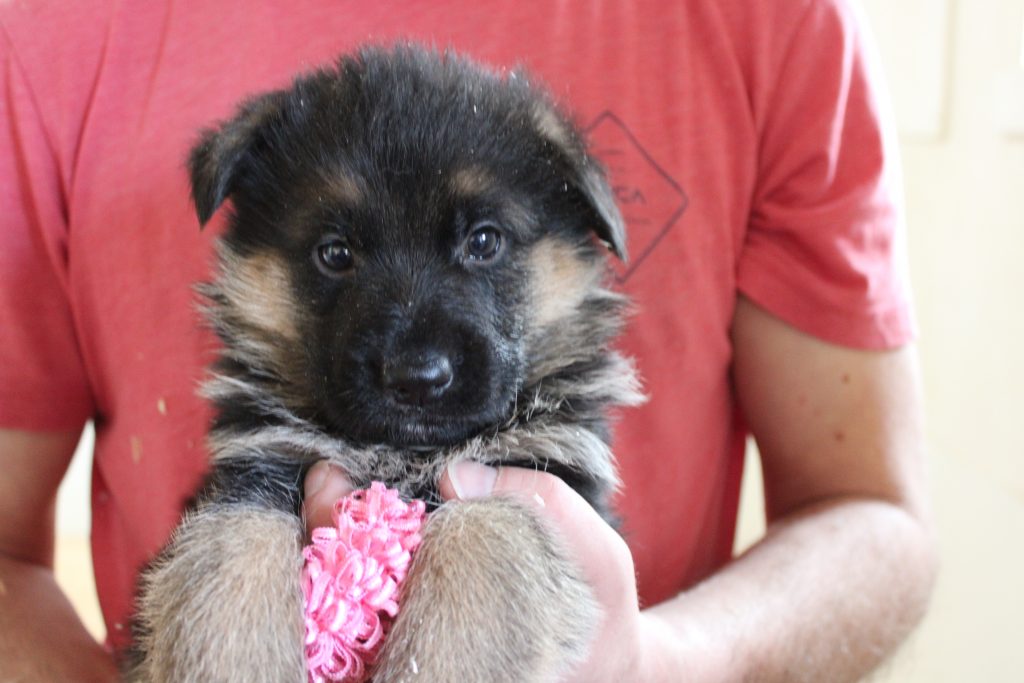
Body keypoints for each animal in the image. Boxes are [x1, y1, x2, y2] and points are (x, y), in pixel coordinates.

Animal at [125, 45, 638, 679]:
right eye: (335, 253)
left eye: (484, 242)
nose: (417, 379)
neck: (402, 453)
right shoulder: (253, 466)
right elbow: (229, 548)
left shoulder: (544, 476)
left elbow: (485, 532)